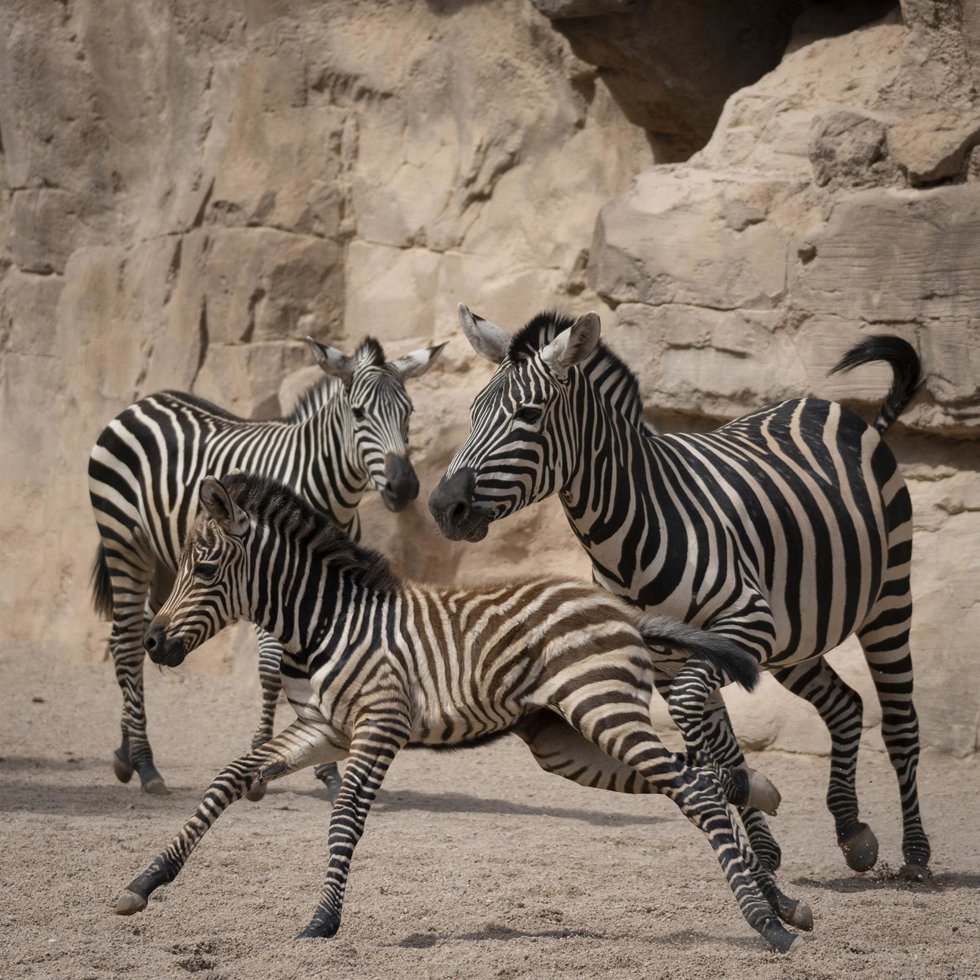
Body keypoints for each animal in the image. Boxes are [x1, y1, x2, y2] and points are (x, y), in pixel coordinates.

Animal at [88, 335, 444, 797]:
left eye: (409, 412)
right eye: (359, 412)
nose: (403, 488)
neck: (331, 494)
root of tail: (144, 401)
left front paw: (327, 770)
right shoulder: (269, 578)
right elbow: (273, 671)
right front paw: (263, 764)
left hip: (166, 560)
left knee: (126, 639)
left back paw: (125, 752)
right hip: (124, 543)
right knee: (130, 642)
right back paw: (146, 764)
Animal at [115, 471, 813, 952]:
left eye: (206, 568)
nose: (153, 642)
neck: (333, 623)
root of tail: (627, 614)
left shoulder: (380, 726)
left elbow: (345, 819)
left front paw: (321, 919)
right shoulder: (325, 728)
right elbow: (230, 777)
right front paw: (146, 881)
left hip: (603, 710)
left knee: (692, 789)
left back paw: (767, 925)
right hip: (561, 740)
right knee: (695, 779)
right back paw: (770, 837)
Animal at [429, 304, 930, 881]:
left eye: (529, 414)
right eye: (473, 413)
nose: (443, 507)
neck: (630, 531)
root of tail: (833, 409)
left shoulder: (744, 622)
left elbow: (701, 722)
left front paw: (742, 801)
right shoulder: (674, 657)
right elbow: (714, 740)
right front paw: (757, 843)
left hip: (888, 599)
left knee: (900, 723)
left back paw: (917, 855)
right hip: (794, 632)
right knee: (845, 704)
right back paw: (853, 832)